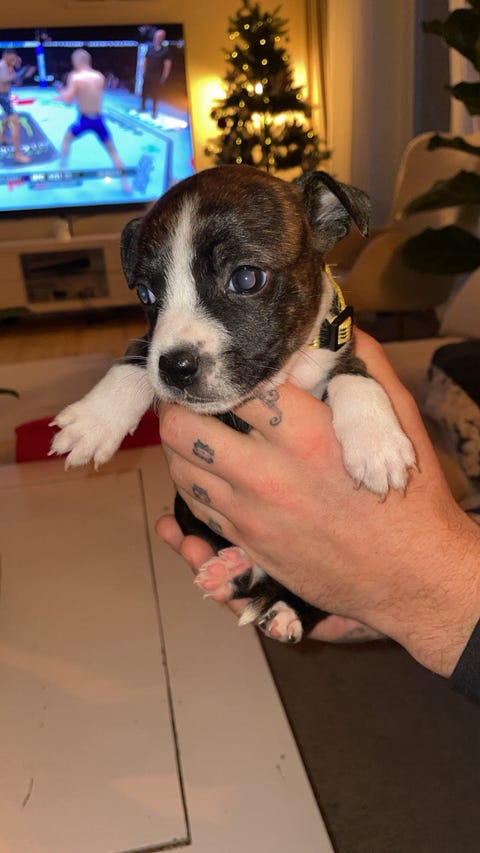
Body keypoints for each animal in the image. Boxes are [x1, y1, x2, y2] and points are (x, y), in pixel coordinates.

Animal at [50, 165, 416, 643]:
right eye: (146, 295)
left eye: (245, 279)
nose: (176, 366)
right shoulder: (150, 345)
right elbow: (136, 353)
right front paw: (95, 421)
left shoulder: (344, 347)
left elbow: (355, 377)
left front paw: (376, 443)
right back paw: (232, 568)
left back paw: (284, 606)